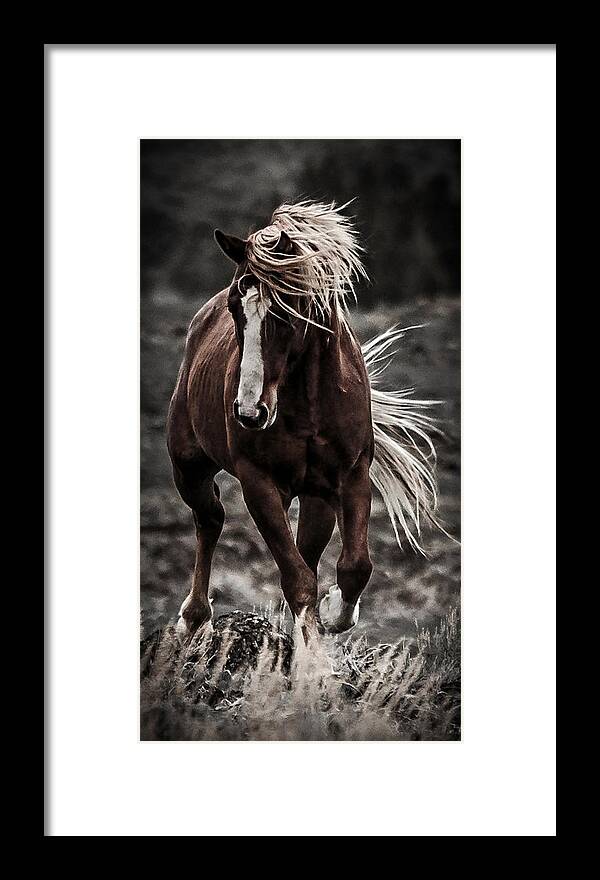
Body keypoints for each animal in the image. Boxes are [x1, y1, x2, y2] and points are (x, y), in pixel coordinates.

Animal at [166, 198, 438, 640]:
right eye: (235, 308)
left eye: (284, 309)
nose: (249, 412)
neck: (307, 406)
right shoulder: (259, 482)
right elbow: (297, 580)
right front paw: (311, 650)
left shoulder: (350, 477)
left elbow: (354, 567)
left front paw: (334, 613)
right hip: (188, 466)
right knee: (209, 519)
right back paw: (193, 617)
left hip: (315, 497)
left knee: (305, 551)